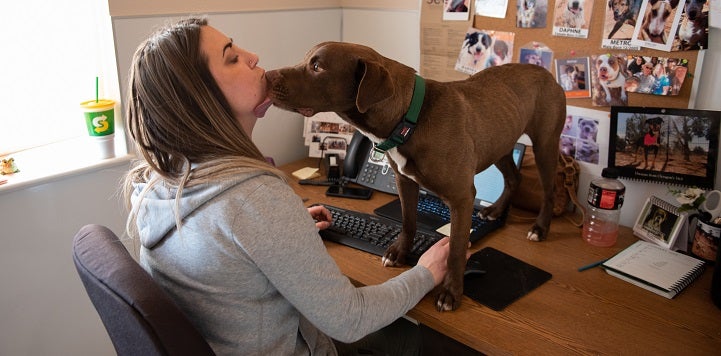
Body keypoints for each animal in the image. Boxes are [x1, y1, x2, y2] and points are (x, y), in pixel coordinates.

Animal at [268, 41, 564, 312]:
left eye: (317, 67)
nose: (267, 76)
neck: (411, 118)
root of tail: (546, 73)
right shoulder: (405, 182)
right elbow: (409, 220)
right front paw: (400, 252)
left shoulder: (461, 199)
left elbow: (456, 249)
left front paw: (451, 291)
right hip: (500, 143)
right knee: (514, 178)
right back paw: (495, 210)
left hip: (545, 144)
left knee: (550, 190)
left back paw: (540, 228)